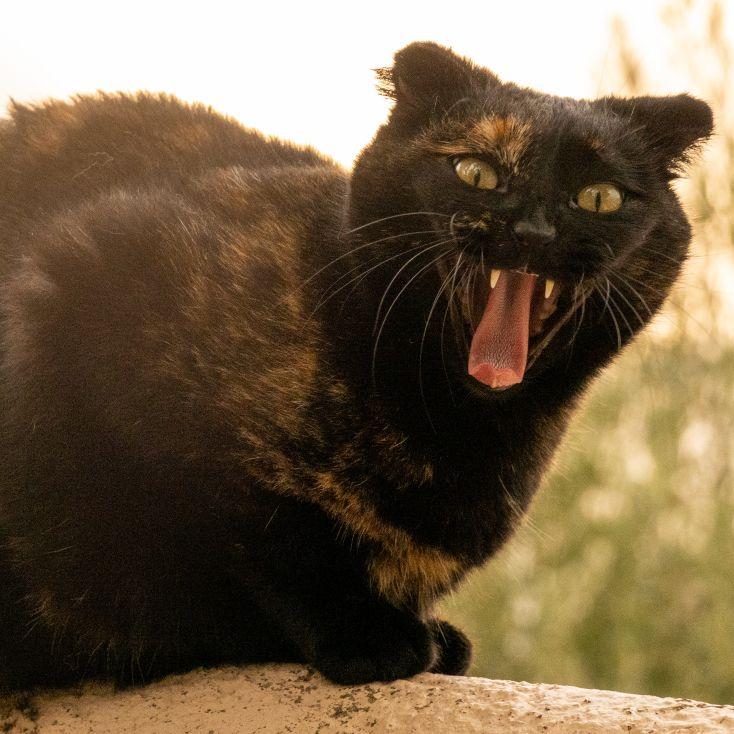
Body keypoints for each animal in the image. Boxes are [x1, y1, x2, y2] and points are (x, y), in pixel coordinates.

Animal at [0, 43, 712, 692]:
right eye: (476, 171)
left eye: (599, 197)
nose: (533, 232)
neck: (455, 437)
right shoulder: (76, 286)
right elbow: (252, 533)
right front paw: (371, 636)